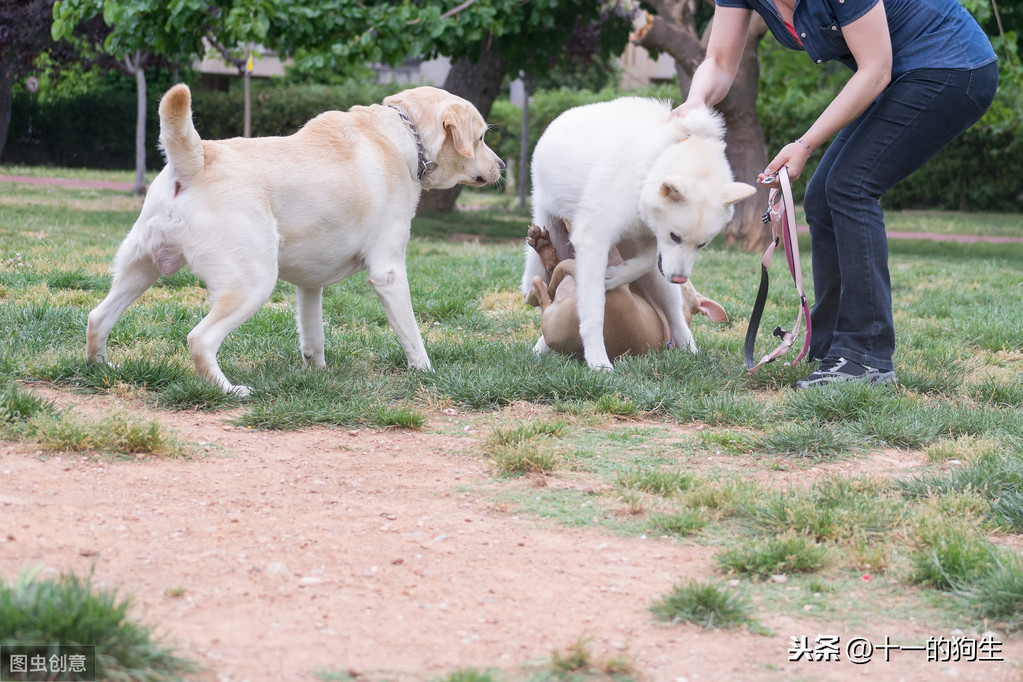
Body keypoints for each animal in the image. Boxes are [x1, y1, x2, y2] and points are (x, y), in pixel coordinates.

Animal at [86, 83, 503, 394]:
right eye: (482, 137)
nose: (501, 165)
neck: (406, 133)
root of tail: (197, 159)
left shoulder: (309, 285)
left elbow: (313, 338)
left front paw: (318, 375)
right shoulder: (389, 273)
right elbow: (412, 337)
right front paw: (426, 372)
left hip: (140, 269)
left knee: (97, 318)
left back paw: (103, 370)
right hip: (252, 283)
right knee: (199, 340)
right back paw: (230, 390)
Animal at [523, 98, 757, 370]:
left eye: (702, 245)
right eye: (675, 237)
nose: (679, 279)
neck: (650, 167)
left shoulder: (648, 242)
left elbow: (643, 262)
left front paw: (615, 276)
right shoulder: (593, 240)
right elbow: (593, 311)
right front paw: (598, 360)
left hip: (659, 277)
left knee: (674, 312)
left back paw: (691, 351)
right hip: (548, 236)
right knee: (540, 285)